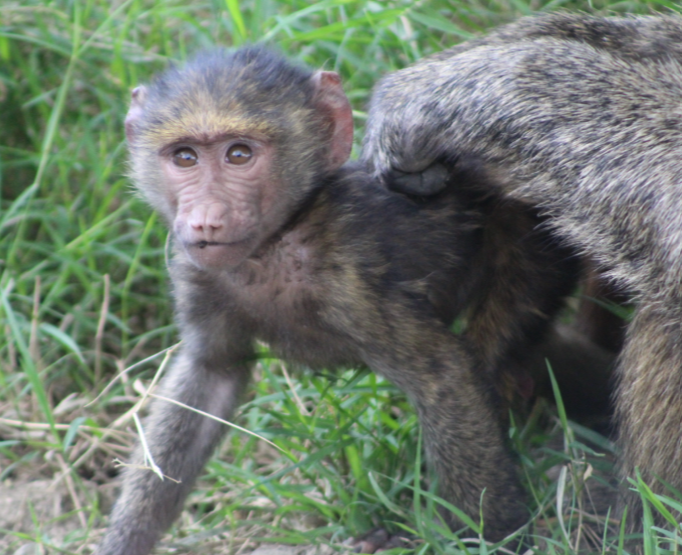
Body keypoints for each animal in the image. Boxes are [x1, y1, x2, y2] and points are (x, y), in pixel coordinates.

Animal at [97, 46, 617, 555]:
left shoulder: (350, 278)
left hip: (534, 244)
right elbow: (210, 380)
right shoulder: (197, 272)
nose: (204, 219)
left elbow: (445, 377)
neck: (280, 240)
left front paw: (491, 541)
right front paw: (122, 543)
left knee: (496, 355)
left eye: (239, 154)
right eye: (184, 157)